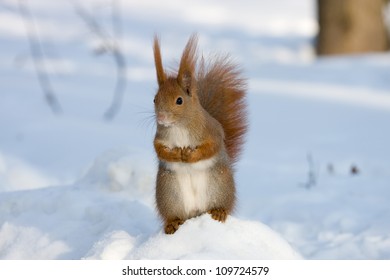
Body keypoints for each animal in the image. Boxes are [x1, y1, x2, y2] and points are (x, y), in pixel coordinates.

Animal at [152, 35, 247, 234]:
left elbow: (211, 147)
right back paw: (172, 223)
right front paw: (175, 154)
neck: (178, 126)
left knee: (222, 205)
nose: (162, 117)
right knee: (174, 215)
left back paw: (219, 211)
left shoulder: (212, 132)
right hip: (169, 193)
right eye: (155, 99)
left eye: (179, 100)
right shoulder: (160, 137)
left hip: (219, 185)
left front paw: (189, 155)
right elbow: (159, 149)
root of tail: (196, 212)